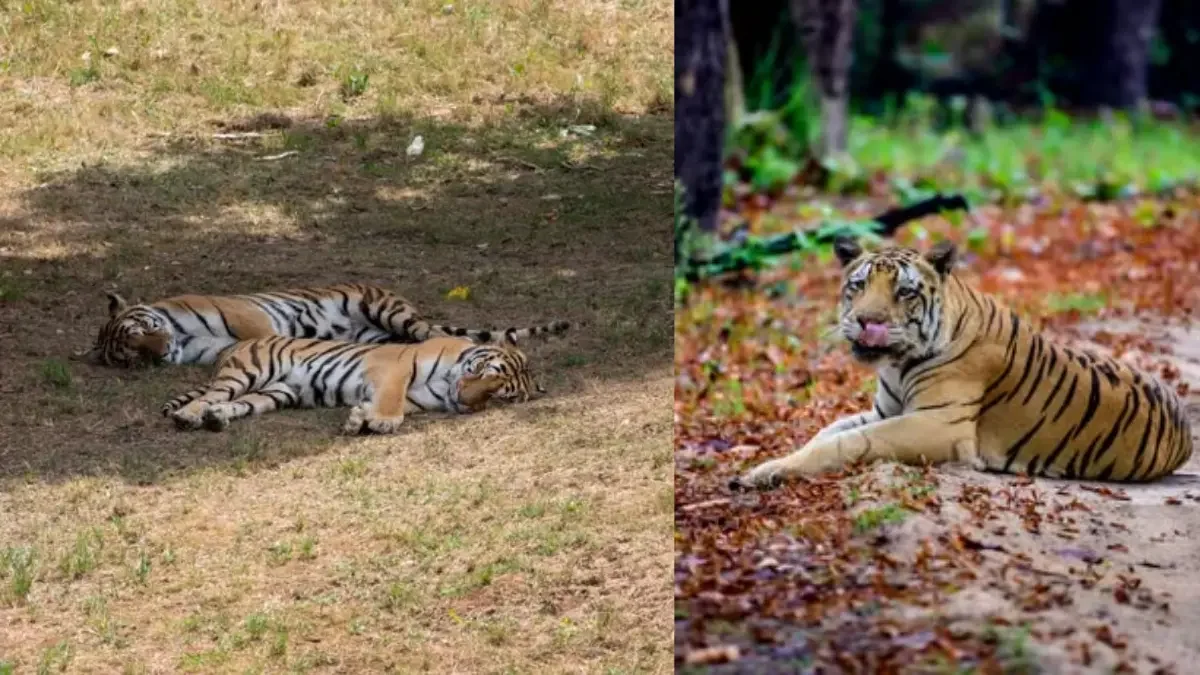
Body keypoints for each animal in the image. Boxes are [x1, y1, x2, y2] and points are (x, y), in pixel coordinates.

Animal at [162, 336, 537, 434]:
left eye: (500, 396)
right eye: (487, 372)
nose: (463, 400)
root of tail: (235, 345)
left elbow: (397, 405)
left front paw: (360, 418)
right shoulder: (395, 367)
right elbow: (393, 400)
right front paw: (380, 422)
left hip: (275, 393)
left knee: (236, 403)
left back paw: (217, 418)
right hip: (248, 372)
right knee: (211, 394)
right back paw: (189, 416)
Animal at [733, 237, 1194, 489]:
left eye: (904, 292)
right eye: (858, 286)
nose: (867, 321)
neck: (897, 364)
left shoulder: (937, 424)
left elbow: (846, 443)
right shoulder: (885, 411)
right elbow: (824, 433)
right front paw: (762, 468)